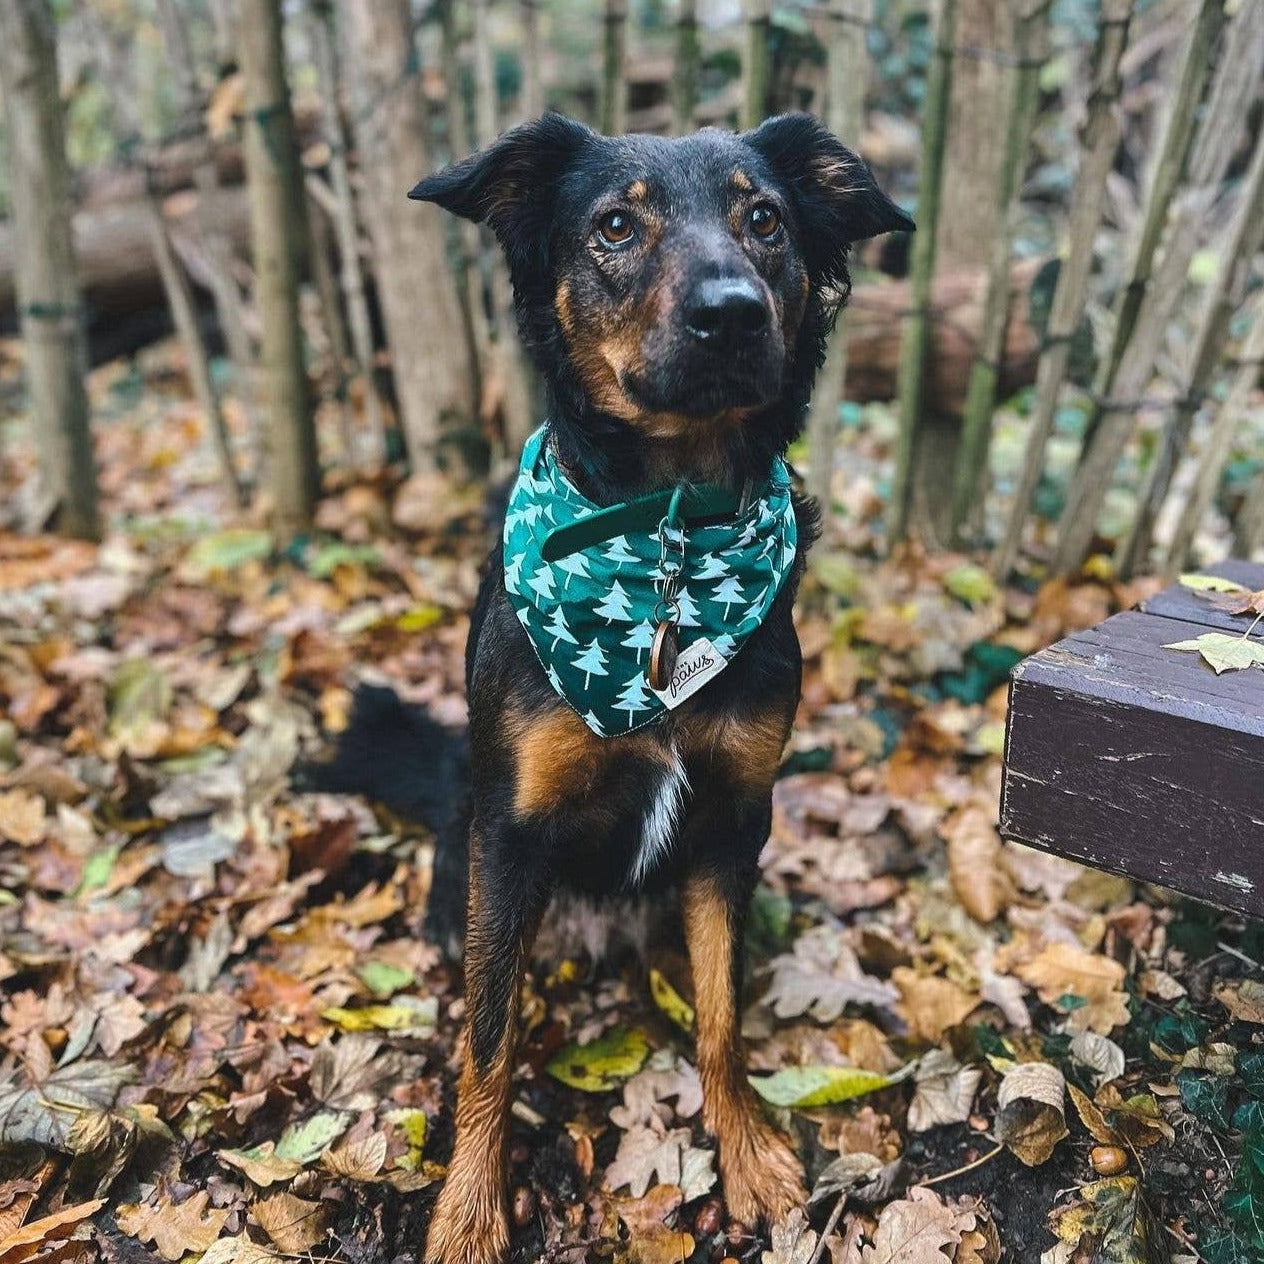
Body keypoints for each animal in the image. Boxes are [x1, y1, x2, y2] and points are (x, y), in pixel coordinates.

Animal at [394, 116, 910, 1264]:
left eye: (763, 218)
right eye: (615, 227)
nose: (732, 311)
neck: (669, 541)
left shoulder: (733, 816)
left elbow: (720, 1016)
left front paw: (747, 1150)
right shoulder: (512, 830)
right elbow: (487, 1042)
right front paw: (470, 1206)